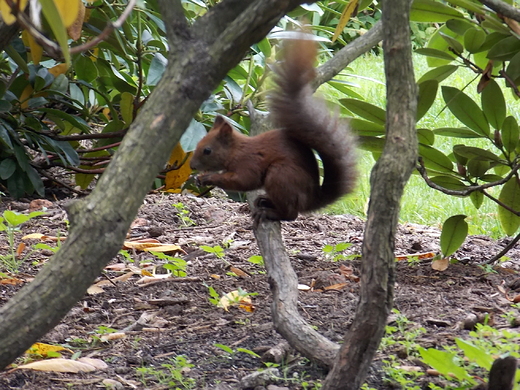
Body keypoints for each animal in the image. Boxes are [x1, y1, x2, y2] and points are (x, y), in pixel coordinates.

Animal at [191, 34, 358, 221]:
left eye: (207, 150)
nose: (192, 166)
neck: (236, 150)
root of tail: (312, 200)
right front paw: (200, 177)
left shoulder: (248, 163)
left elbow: (243, 181)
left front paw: (209, 177)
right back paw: (266, 200)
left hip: (281, 175)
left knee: (291, 214)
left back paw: (270, 212)